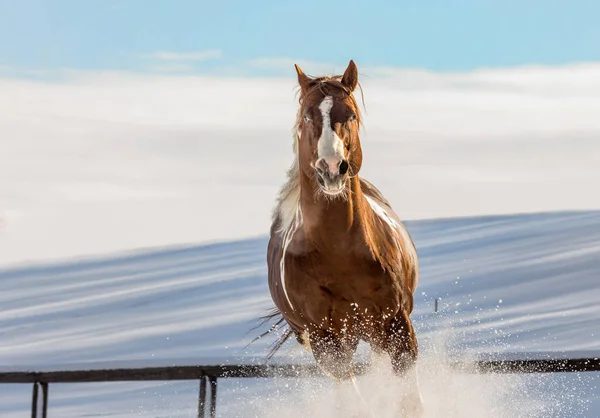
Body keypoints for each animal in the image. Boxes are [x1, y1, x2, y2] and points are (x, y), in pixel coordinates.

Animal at [262, 59, 422, 414]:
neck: (338, 254)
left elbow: (410, 403)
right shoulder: (325, 340)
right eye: (307, 117)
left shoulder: (396, 323)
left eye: (349, 115)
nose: (332, 168)